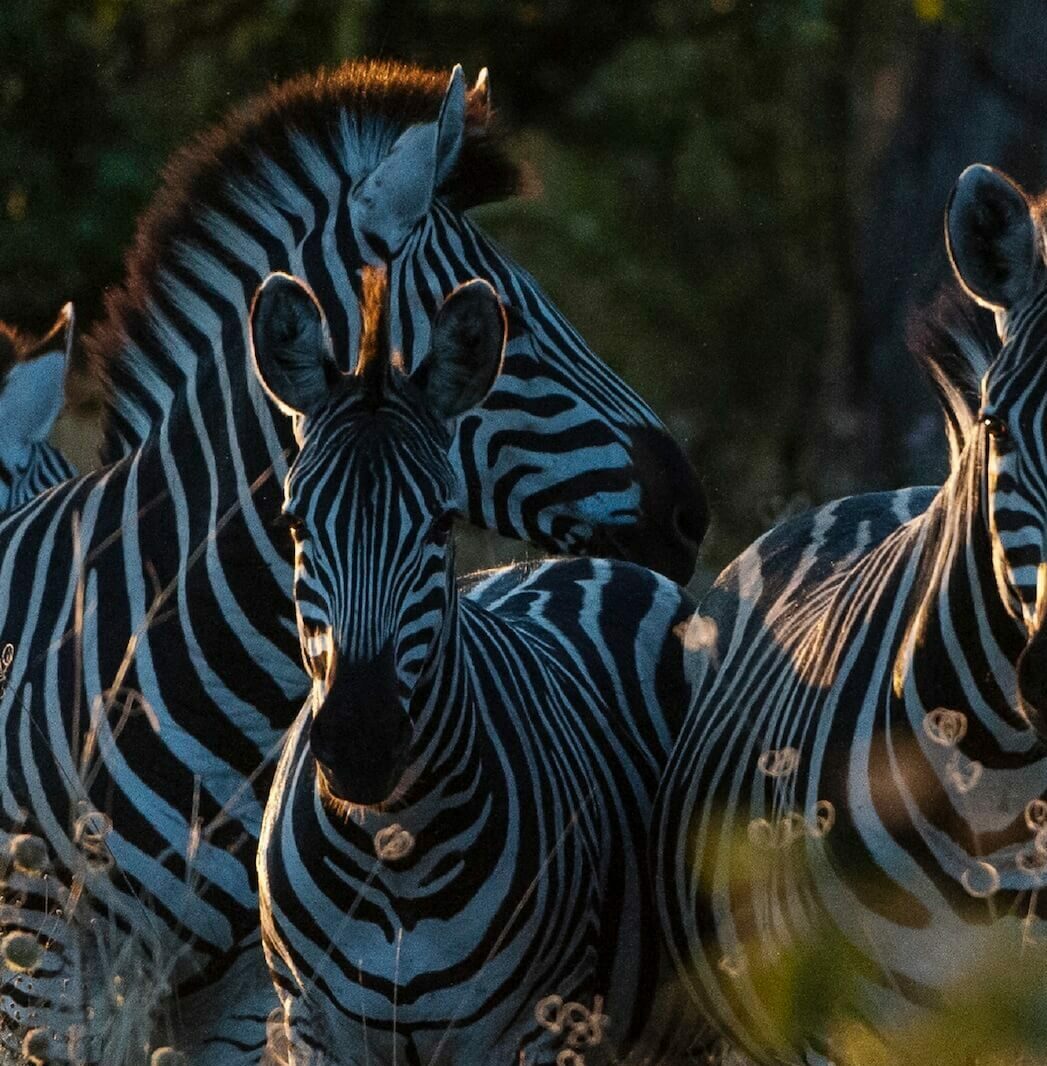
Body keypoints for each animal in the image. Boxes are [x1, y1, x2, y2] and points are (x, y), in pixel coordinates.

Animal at [253, 264, 703, 1066]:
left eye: (440, 522)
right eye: (296, 522)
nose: (361, 741)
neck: (392, 844)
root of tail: (588, 560)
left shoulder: (529, 1030)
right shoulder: (313, 1025)